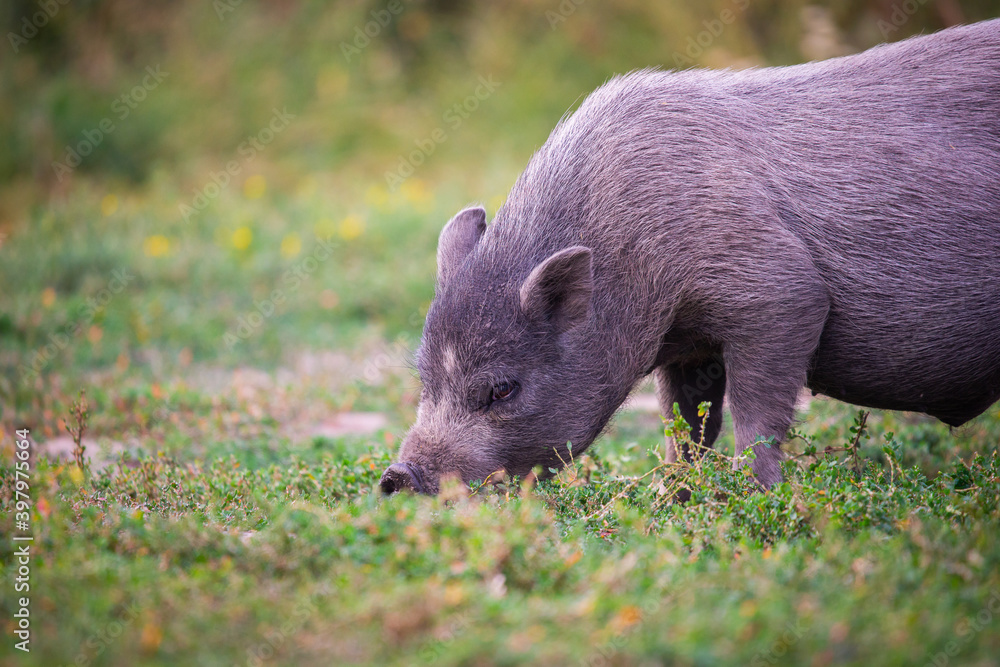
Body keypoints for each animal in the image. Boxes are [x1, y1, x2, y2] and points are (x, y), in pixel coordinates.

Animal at [378, 19, 1000, 496]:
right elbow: (686, 424)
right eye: (424, 376)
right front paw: (674, 492)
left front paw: (754, 496)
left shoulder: (781, 295)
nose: (397, 476)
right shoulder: (689, 348)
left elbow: (755, 416)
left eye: (502, 388)